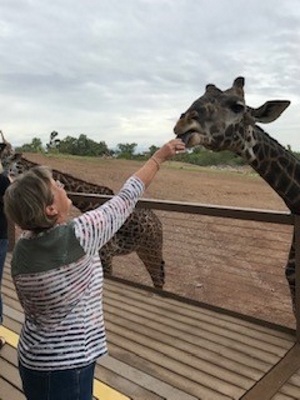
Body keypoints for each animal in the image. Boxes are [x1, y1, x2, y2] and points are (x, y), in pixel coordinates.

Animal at [1, 141, 165, 288]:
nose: (7, 174)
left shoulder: (106, 253)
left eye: (10, 163)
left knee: (158, 277)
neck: (89, 204)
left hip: (151, 249)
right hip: (143, 250)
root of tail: (159, 224)